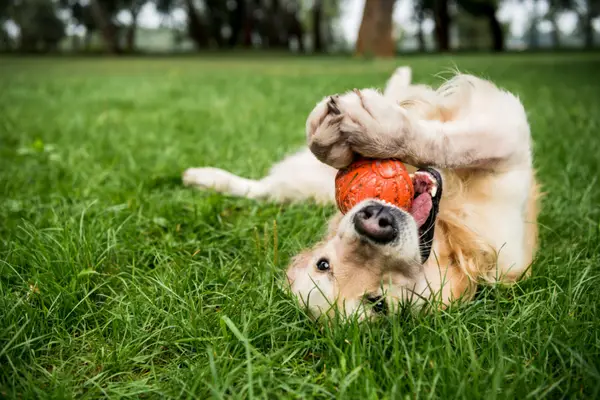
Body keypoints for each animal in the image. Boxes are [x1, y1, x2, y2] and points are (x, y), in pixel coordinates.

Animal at [182, 67, 540, 320]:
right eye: (324, 264)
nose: (375, 222)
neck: (448, 236)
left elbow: (450, 141)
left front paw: (370, 130)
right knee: (263, 189)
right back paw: (202, 178)